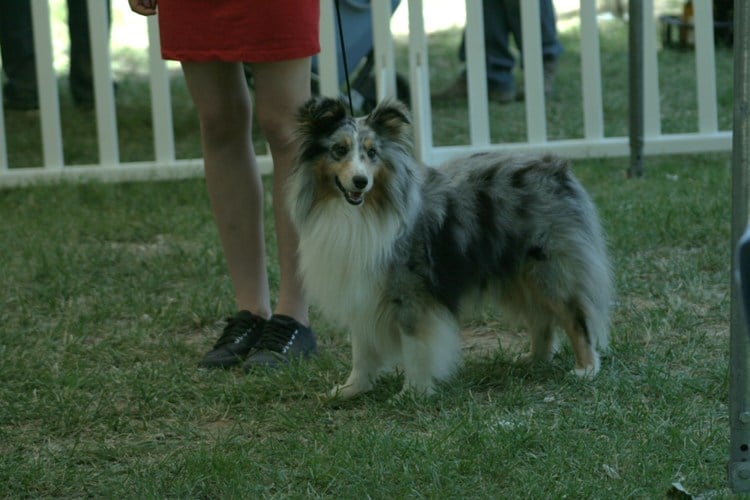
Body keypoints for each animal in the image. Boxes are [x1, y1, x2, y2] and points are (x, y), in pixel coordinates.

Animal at [286, 95, 612, 396]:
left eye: (372, 153)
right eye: (339, 150)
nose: (360, 181)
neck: (357, 212)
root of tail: (555, 167)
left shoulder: (409, 291)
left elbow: (414, 346)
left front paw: (412, 393)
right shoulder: (361, 289)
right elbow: (362, 350)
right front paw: (351, 389)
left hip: (549, 268)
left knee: (575, 317)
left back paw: (585, 369)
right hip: (515, 274)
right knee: (541, 318)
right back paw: (535, 359)